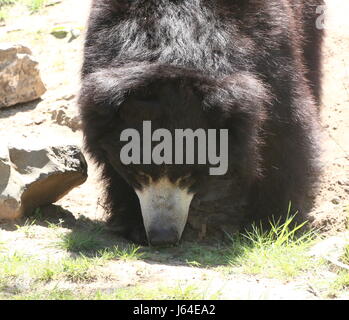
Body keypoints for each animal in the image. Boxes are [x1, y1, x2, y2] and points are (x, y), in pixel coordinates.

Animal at [78, 0, 320, 245]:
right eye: (138, 174)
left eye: (189, 175)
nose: (163, 236)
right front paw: (133, 224)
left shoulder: (268, 48)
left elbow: (285, 135)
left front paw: (272, 223)